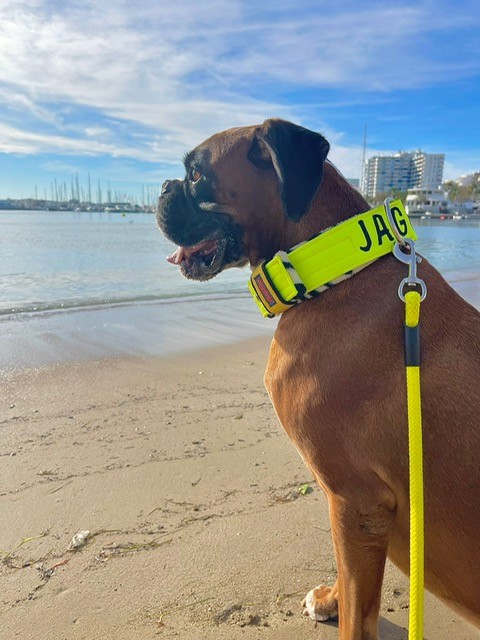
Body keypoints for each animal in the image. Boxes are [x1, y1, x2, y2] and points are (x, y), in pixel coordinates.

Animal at [157, 119, 480, 639]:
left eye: (196, 174)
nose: (164, 187)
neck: (329, 271)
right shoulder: (352, 509)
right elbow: (351, 583)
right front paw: (332, 596)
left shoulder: (355, 501)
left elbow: (357, 608)